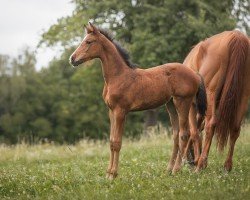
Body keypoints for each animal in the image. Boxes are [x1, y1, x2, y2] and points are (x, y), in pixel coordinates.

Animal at [70, 22, 207, 179]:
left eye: (89, 41)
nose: (72, 59)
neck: (118, 76)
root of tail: (195, 74)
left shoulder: (120, 111)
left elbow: (117, 142)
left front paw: (113, 174)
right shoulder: (111, 111)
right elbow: (111, 141)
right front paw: (108, 173)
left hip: (182, 102)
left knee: (184, 134)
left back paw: (176, 170)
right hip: (171, 104)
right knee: (176, 135)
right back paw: (168, 170)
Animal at [184, 30, 250, 171]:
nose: (189, 161)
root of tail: (236, 36)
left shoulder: (192, 106)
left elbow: (194, 132)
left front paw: (197, 160)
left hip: (211, 93)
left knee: (211, 124)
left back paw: (200, 165)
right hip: (243, 97)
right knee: (235, 128)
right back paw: (227, 166)